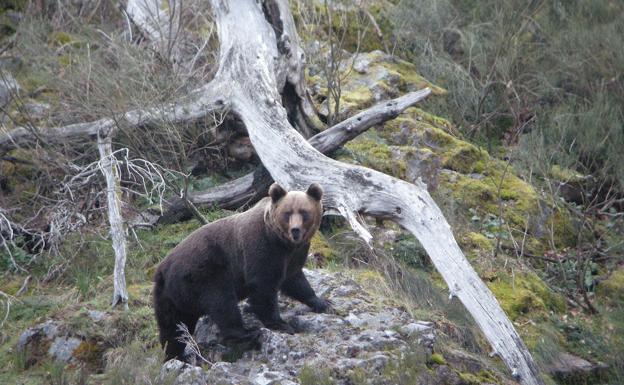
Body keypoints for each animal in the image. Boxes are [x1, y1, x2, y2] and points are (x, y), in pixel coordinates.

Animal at [154, 182, 332, 360]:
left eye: (304, 212)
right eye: (287, 213)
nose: (295, 230)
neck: (282, 243)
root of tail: (163, 269)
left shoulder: (293, 256)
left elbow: (295, 280)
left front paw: (321, 302)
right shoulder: (262, 249)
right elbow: (263, 287)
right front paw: (280, 324)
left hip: (169, 296)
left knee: (173, 326)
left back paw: (176, 354)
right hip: (204, 273)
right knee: (222, 303)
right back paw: (247, 333)